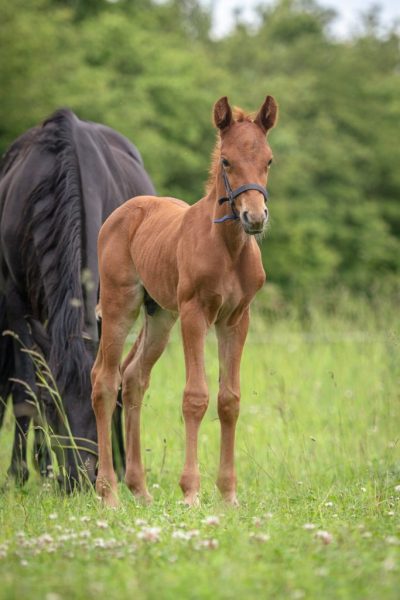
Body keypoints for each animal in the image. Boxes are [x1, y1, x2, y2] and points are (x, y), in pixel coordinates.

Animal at [0, 110, 155, 488]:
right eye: (54, 405)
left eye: (100, 399)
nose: (80, 478)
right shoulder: (15, 301)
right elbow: (26, 388)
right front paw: (19, 472)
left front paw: (117, 465)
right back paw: (41, 466)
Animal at [92, 95, 276, 506]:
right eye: (226, 161)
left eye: (269, 160)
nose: (254, 217)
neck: (227, 248)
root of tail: (124, 211)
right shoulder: (195, 314)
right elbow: (195, 396)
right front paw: (191, 492)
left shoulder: (236, 319)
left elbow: (229, 400)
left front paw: (228, 494)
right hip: (119, 305)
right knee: (104, 380)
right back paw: (109, 494)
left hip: (159, 315)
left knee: (134, 377)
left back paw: (140, 490)